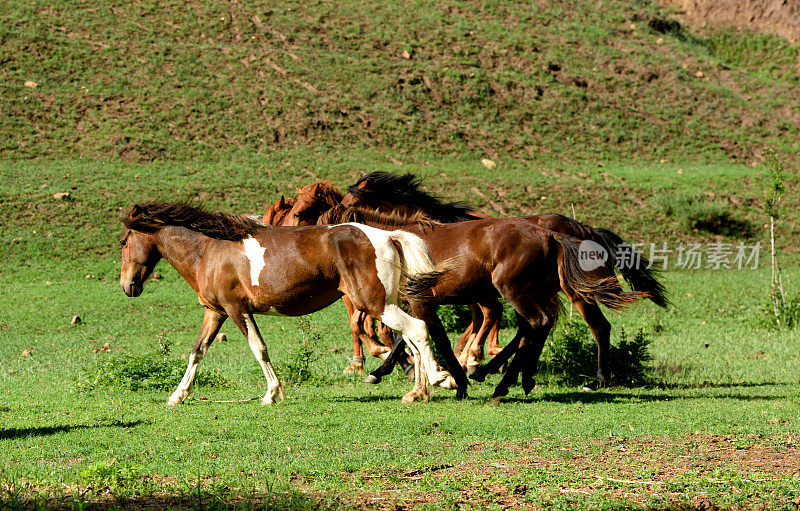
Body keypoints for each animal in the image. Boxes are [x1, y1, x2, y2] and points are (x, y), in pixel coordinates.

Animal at [116, 201, 460, 404]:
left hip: (375, 304)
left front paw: (272, 393)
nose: (128, 286)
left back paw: (440, 379)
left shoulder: (236, 309)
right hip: (387, 303)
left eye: (122, 242)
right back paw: (418, 392)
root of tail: (388, 237)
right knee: (411, 337)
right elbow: (197, 350)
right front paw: (178, 396)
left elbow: (258, 347)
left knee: (417, 330)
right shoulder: (216, 312)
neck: (208, 251)